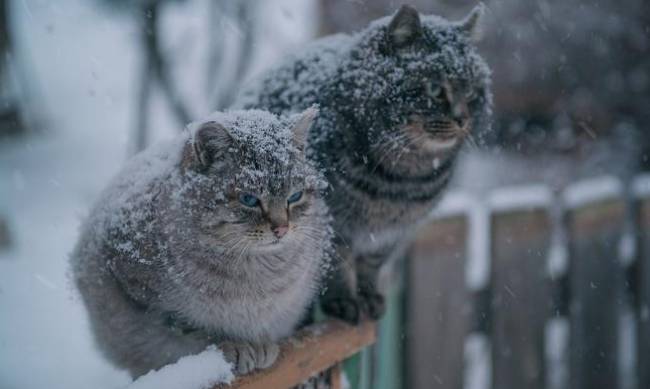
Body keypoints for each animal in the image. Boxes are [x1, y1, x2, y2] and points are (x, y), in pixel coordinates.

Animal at [73, 107, 332, 378]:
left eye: (295, 196)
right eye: (249, 199)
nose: (281, 229)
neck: (256, 271)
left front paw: (260, 344)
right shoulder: (143, 294)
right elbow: (195, 330)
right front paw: (236, 345)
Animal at [234, 5, 492, 322]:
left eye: (471, 92)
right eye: (435, 89)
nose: (462, 119)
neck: (403, 180)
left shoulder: (391, 234)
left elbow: (371, 265)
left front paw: (368, 296)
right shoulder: (333, 224)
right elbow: (337, 265)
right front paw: (344, 301)